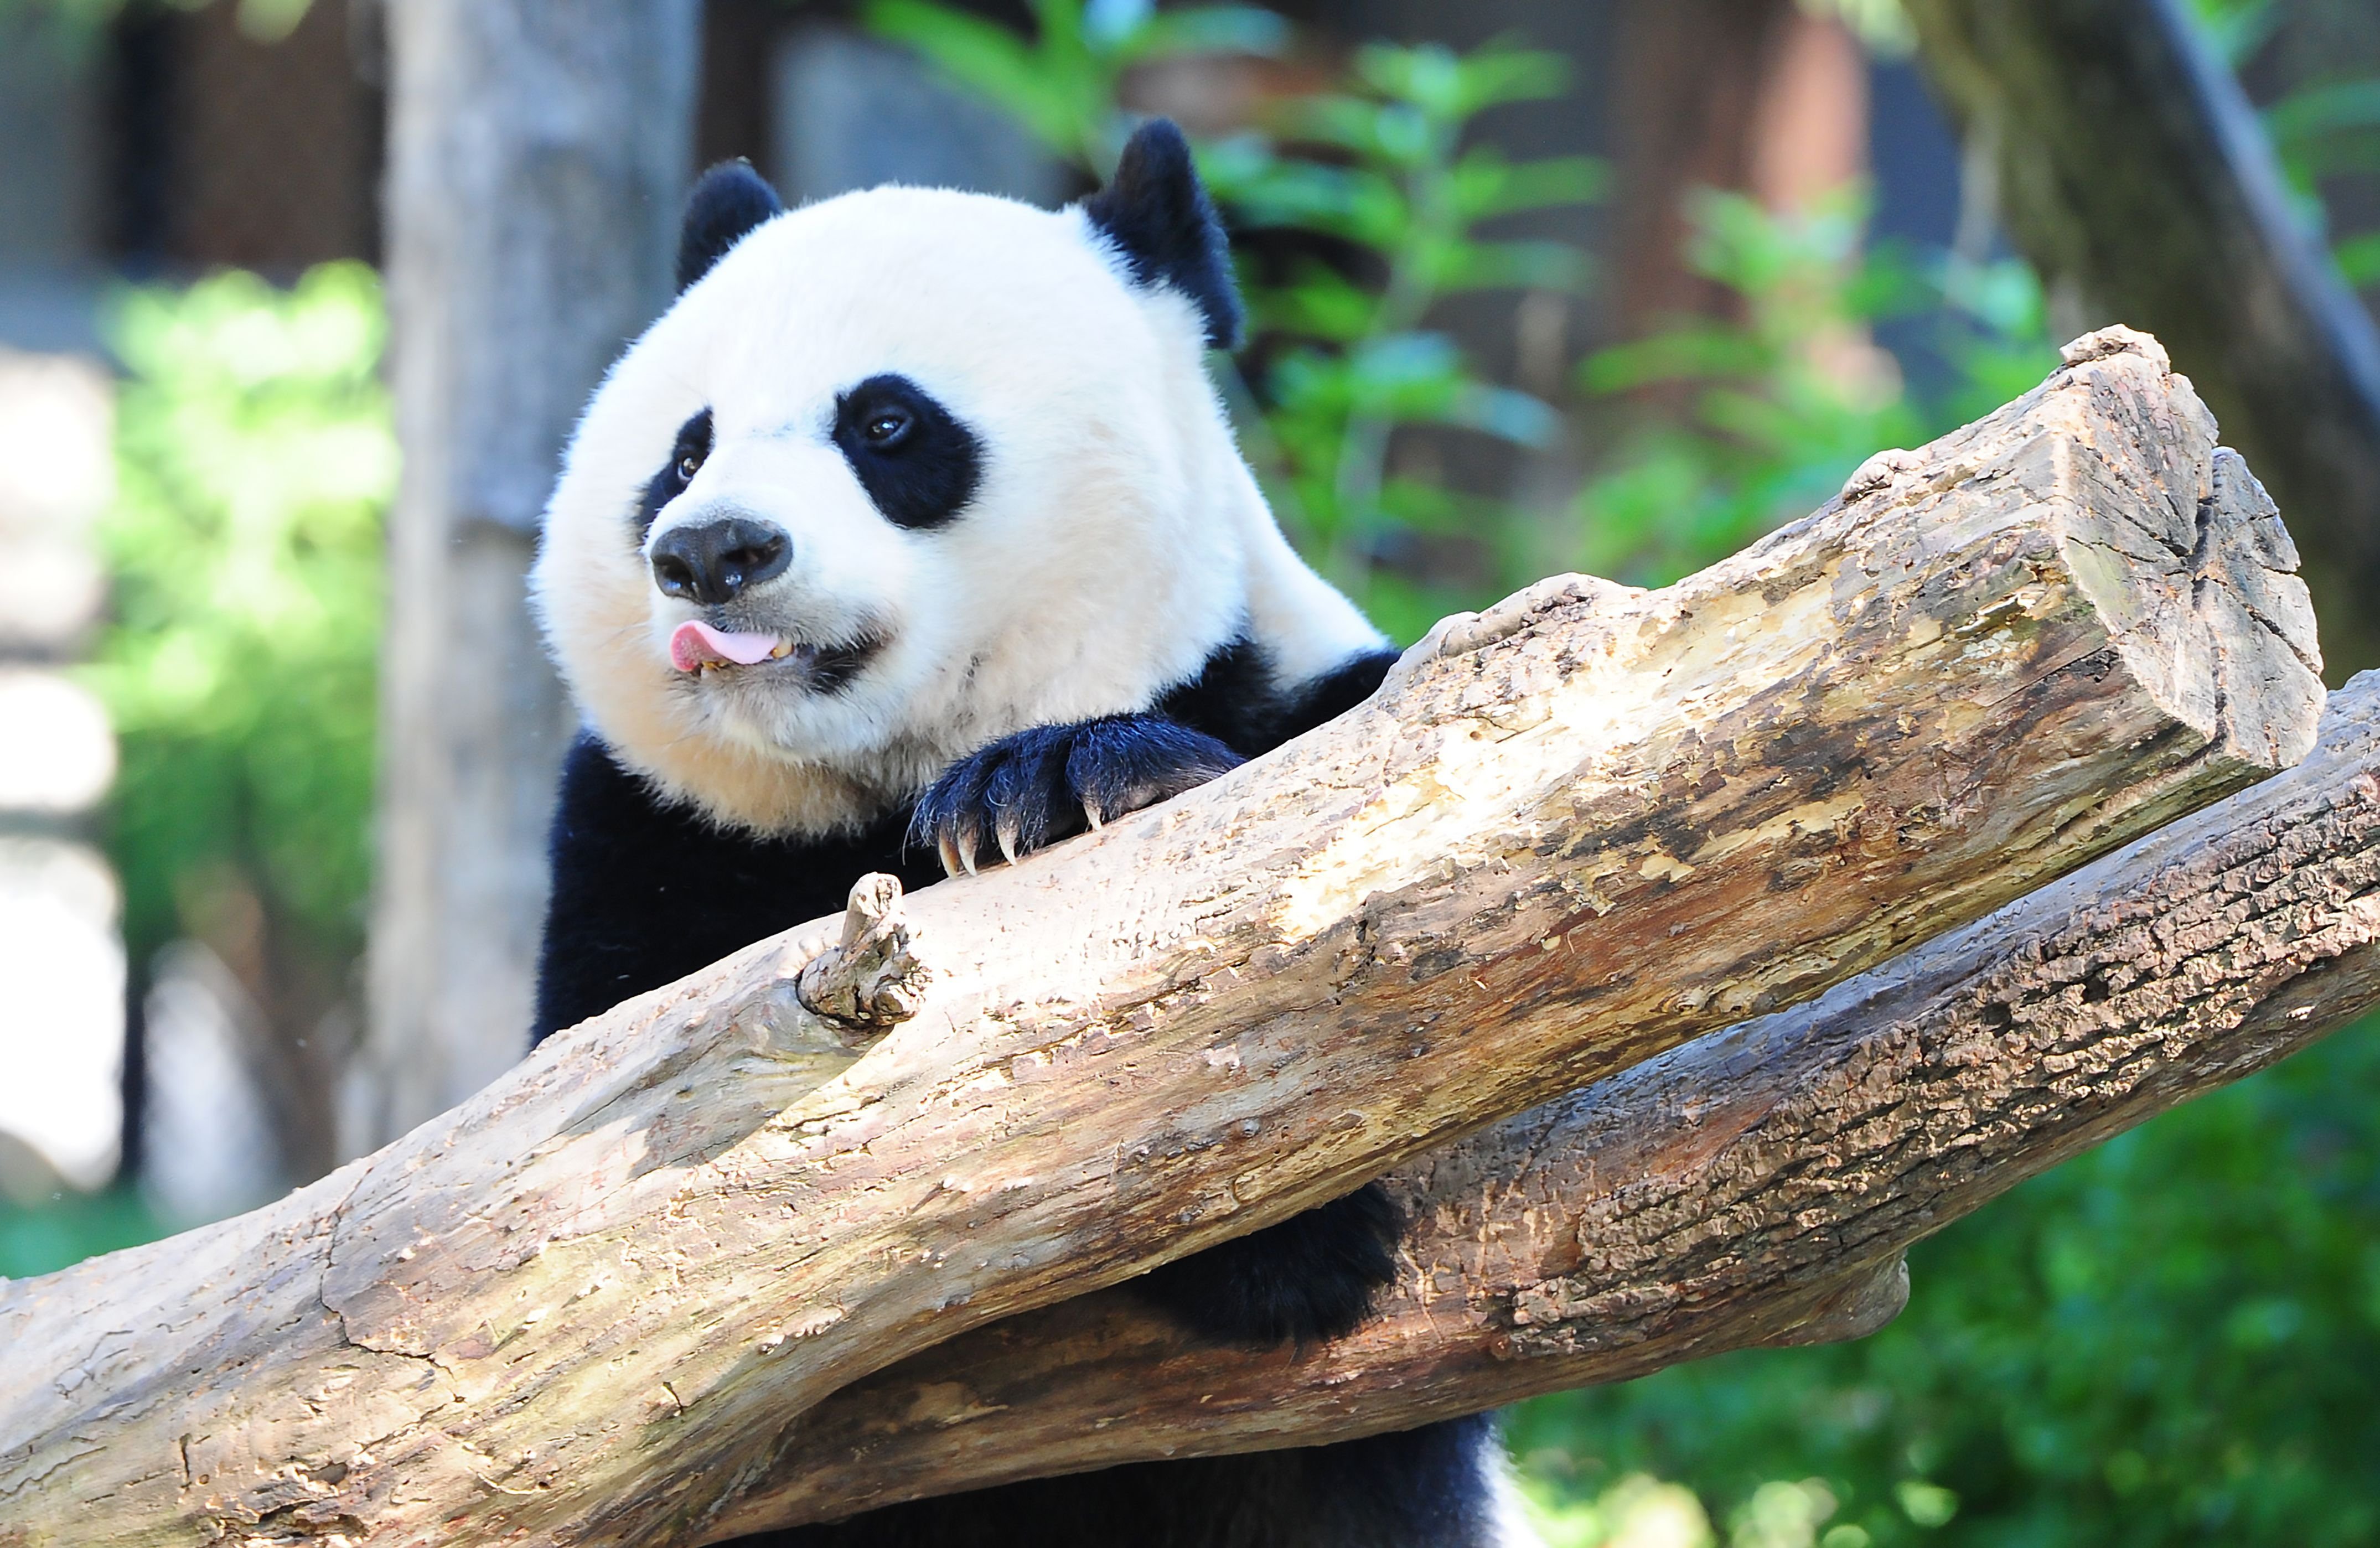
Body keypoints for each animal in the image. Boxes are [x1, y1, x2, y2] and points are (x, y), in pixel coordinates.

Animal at [529, 120, 1534, 1548]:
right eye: (682, 452)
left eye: (886, 424)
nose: (713, 549)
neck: (879, 778)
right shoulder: (648, 835)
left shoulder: (1320, 719)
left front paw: (1058, 789)